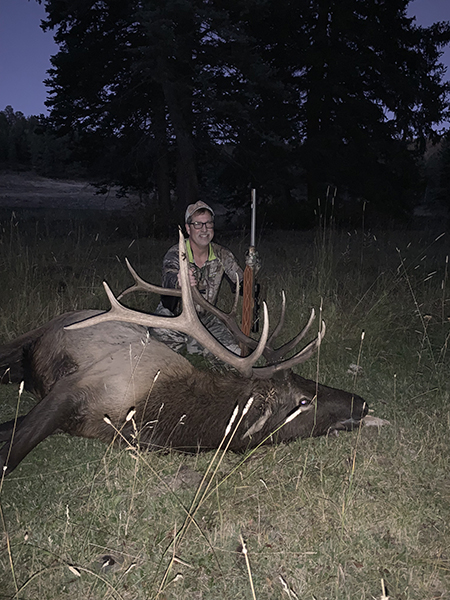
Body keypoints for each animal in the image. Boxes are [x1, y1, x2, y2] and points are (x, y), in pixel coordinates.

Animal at [0, 232, 366, 476]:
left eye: (306, 380)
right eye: (303, 401)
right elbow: (10, 458)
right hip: (29, 340)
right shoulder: (74, 387)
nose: (362, 402)